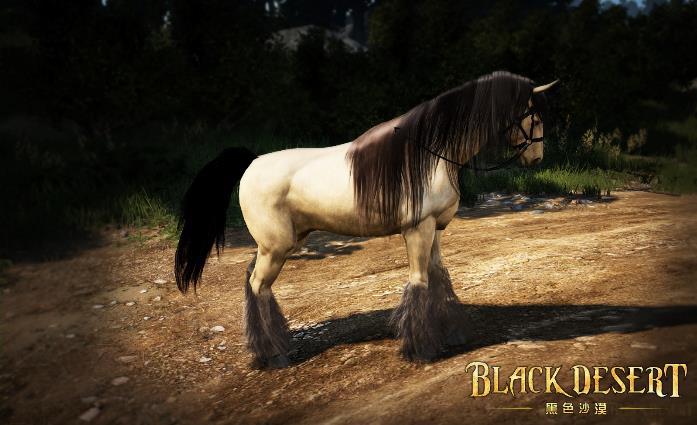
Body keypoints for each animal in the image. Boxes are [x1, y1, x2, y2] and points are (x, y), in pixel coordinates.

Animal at [174, 70, 558, 368]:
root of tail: (252, 162)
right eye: (536, 117)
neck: (432, 155)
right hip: (276, 248)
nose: (538, 158)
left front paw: (451, 333)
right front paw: (422, 348)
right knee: (257, 286)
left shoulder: (434, 228)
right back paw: (273, 355)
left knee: (257, 286)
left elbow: (438, 277)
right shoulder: (417, 229)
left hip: (278, 245)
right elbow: (419, 281)